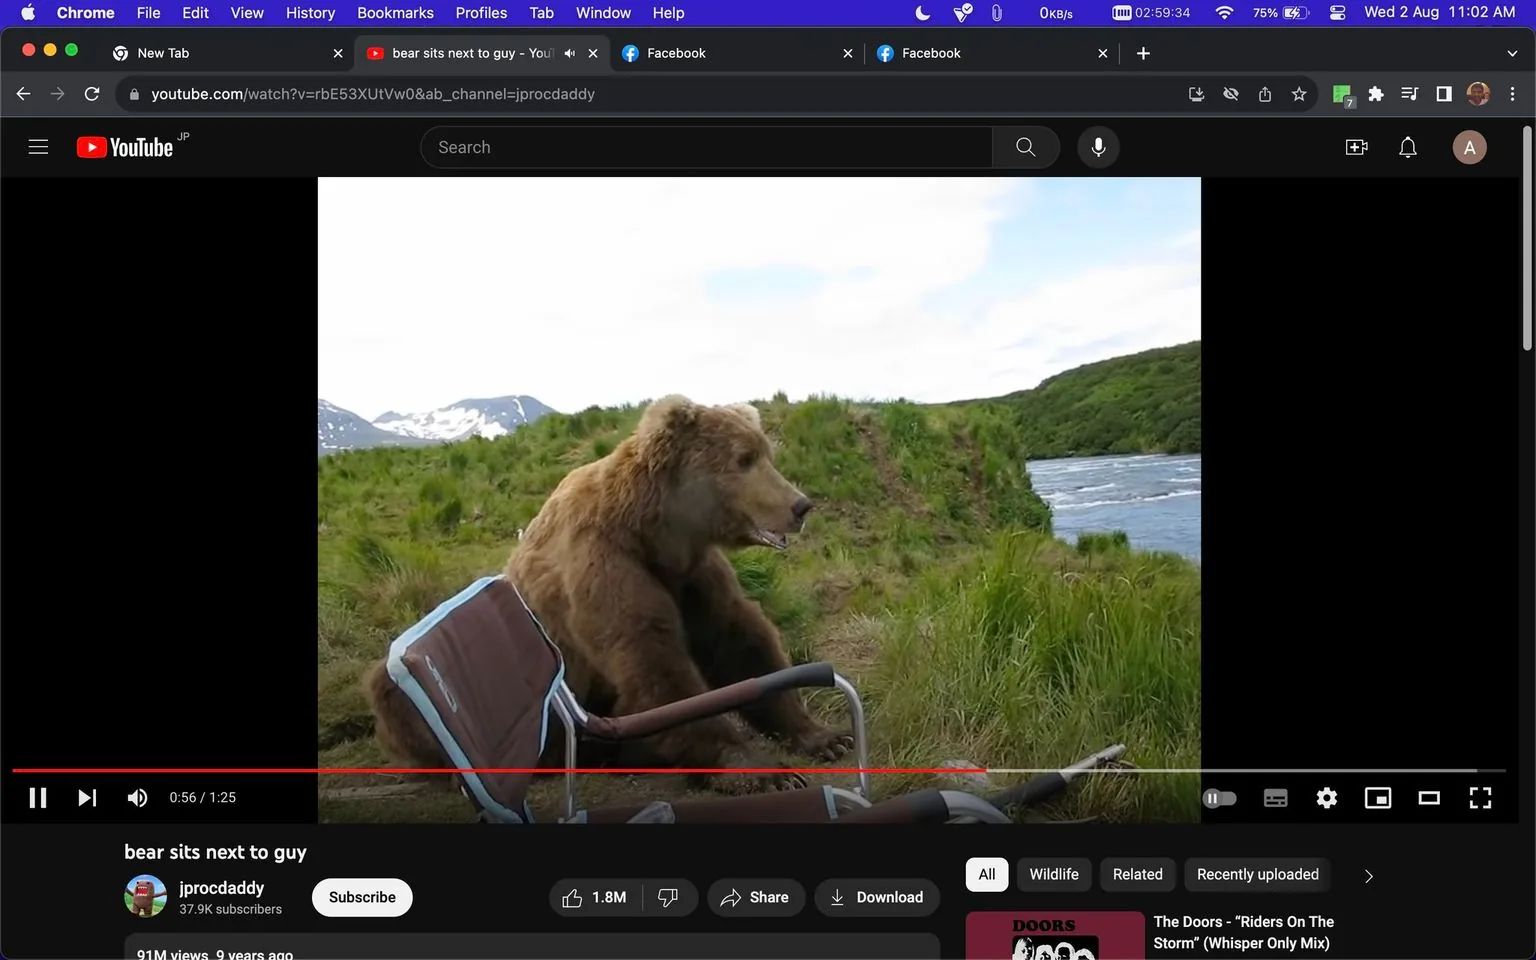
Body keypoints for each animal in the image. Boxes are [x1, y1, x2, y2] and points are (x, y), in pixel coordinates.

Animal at [365, 395, 852, 798]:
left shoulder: (690, 575)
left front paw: (826, 736)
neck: (655, 531)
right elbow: (652, 660)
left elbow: (739, 640)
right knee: (391, 692)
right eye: (743, 459)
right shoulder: (604, 563)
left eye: (767, 454)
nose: (800, 505)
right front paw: (758, 769)